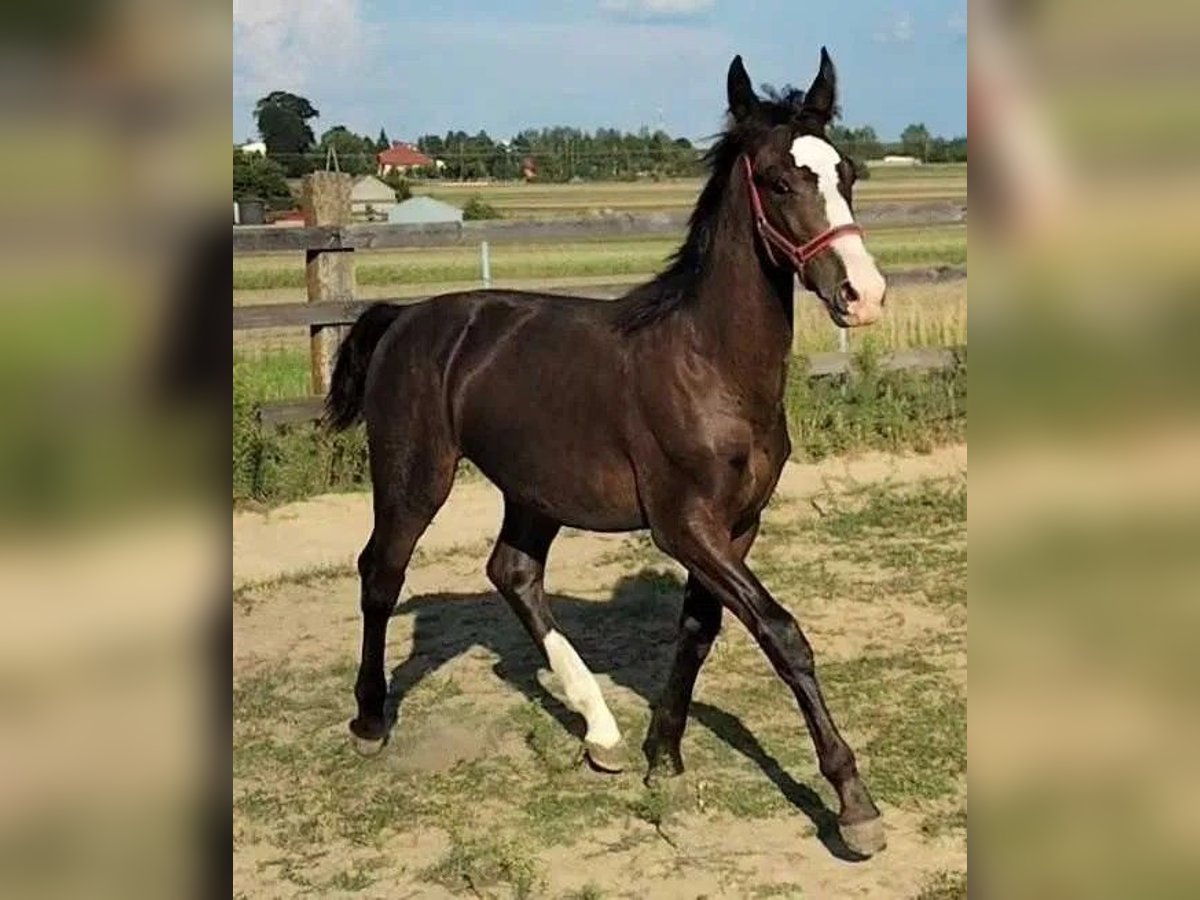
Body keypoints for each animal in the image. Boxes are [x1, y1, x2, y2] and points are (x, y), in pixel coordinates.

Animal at [328, 51, 892, 859]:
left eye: (846, 172)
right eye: (780, 180)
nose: (862, 294)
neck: (708, 363)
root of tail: (405, 318)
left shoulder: (737, 524)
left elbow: (700, 631)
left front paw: (664, 755)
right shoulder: (683, 525)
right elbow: (782, 632)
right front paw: (853, 803)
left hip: (533, 490)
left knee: (513, 573)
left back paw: (601, 732)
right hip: (413, 475)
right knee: (382, 572)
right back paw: (372, 720)